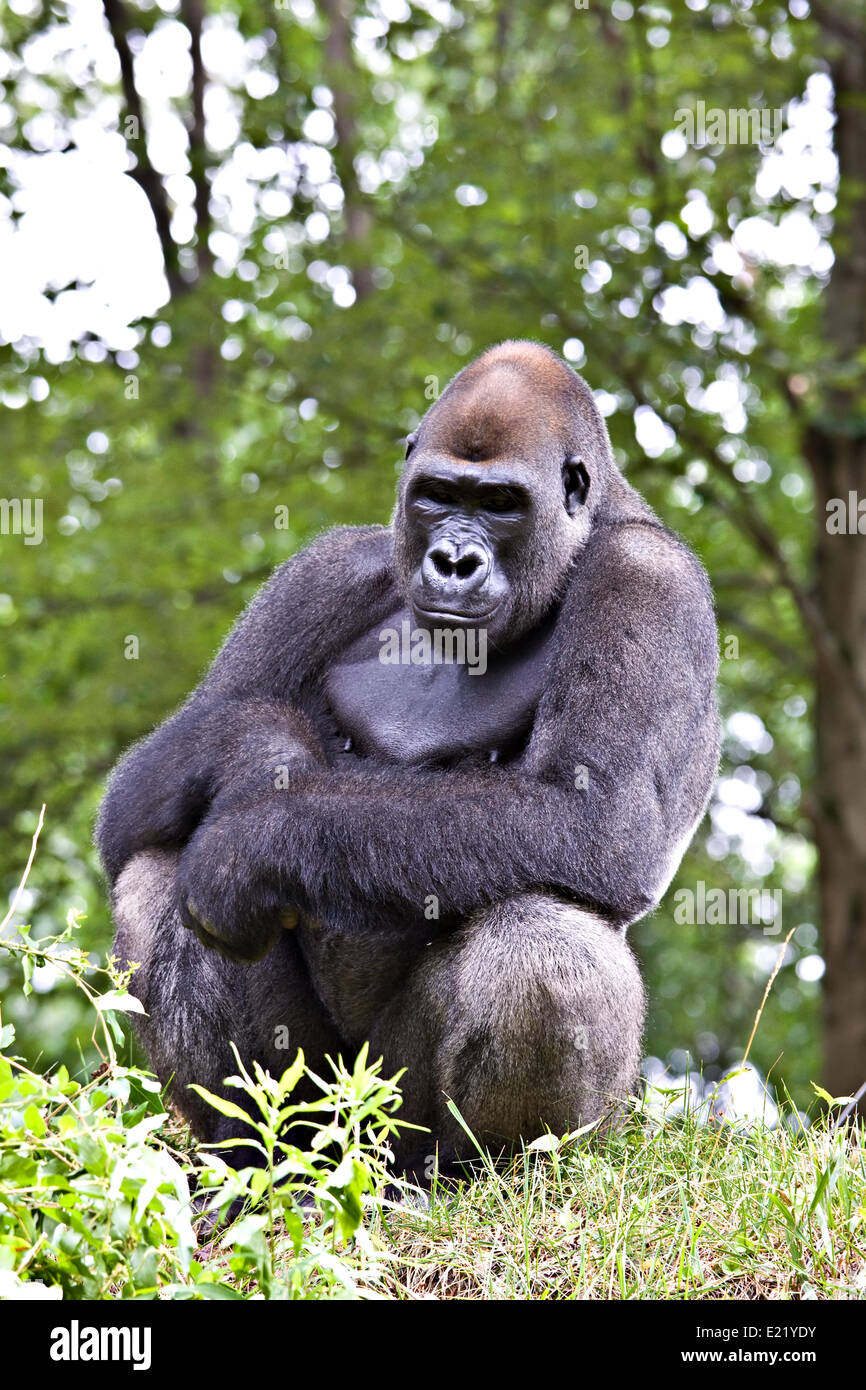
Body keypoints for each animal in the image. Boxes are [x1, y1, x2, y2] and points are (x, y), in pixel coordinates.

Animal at [96, 340, 719, 1176]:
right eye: (437, 495)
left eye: (501, 504)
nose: (452, 559)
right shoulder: (327, 569)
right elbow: (142, 788)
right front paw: (260, 749)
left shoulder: (648, 578)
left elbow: (598, 814)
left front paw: (251, 841)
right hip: (325, 1101)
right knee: (155, 870)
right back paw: (260, 1159)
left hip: (406, 1113)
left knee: (542, 941)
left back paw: (481, 1170)